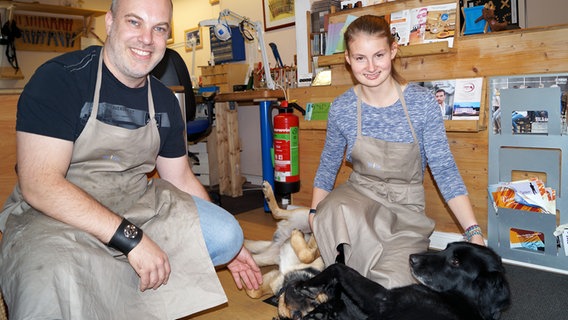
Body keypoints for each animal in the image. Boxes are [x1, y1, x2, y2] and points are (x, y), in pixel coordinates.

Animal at [276, 242, 510, 320]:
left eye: (455, 261)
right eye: (446, 248)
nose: (412, 258)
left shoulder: (383, 299)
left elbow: (338, 267)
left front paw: (307, 285)